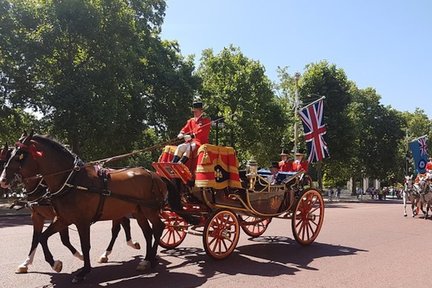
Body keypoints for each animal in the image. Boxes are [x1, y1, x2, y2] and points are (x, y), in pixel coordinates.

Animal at [0, 135, 167, 284]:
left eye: (20, 156)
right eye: (7, 157)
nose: (3, 180)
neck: (71, 180)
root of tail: (152, 174)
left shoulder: (82, 221)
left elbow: (83, 245)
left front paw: (83, 270)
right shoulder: (59, 218)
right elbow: (40, 238)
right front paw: (52, 264)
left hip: (148, 210)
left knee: (158, 227)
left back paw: (150, 259)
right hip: (137, 211)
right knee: (146, 232)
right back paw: (145, 259)